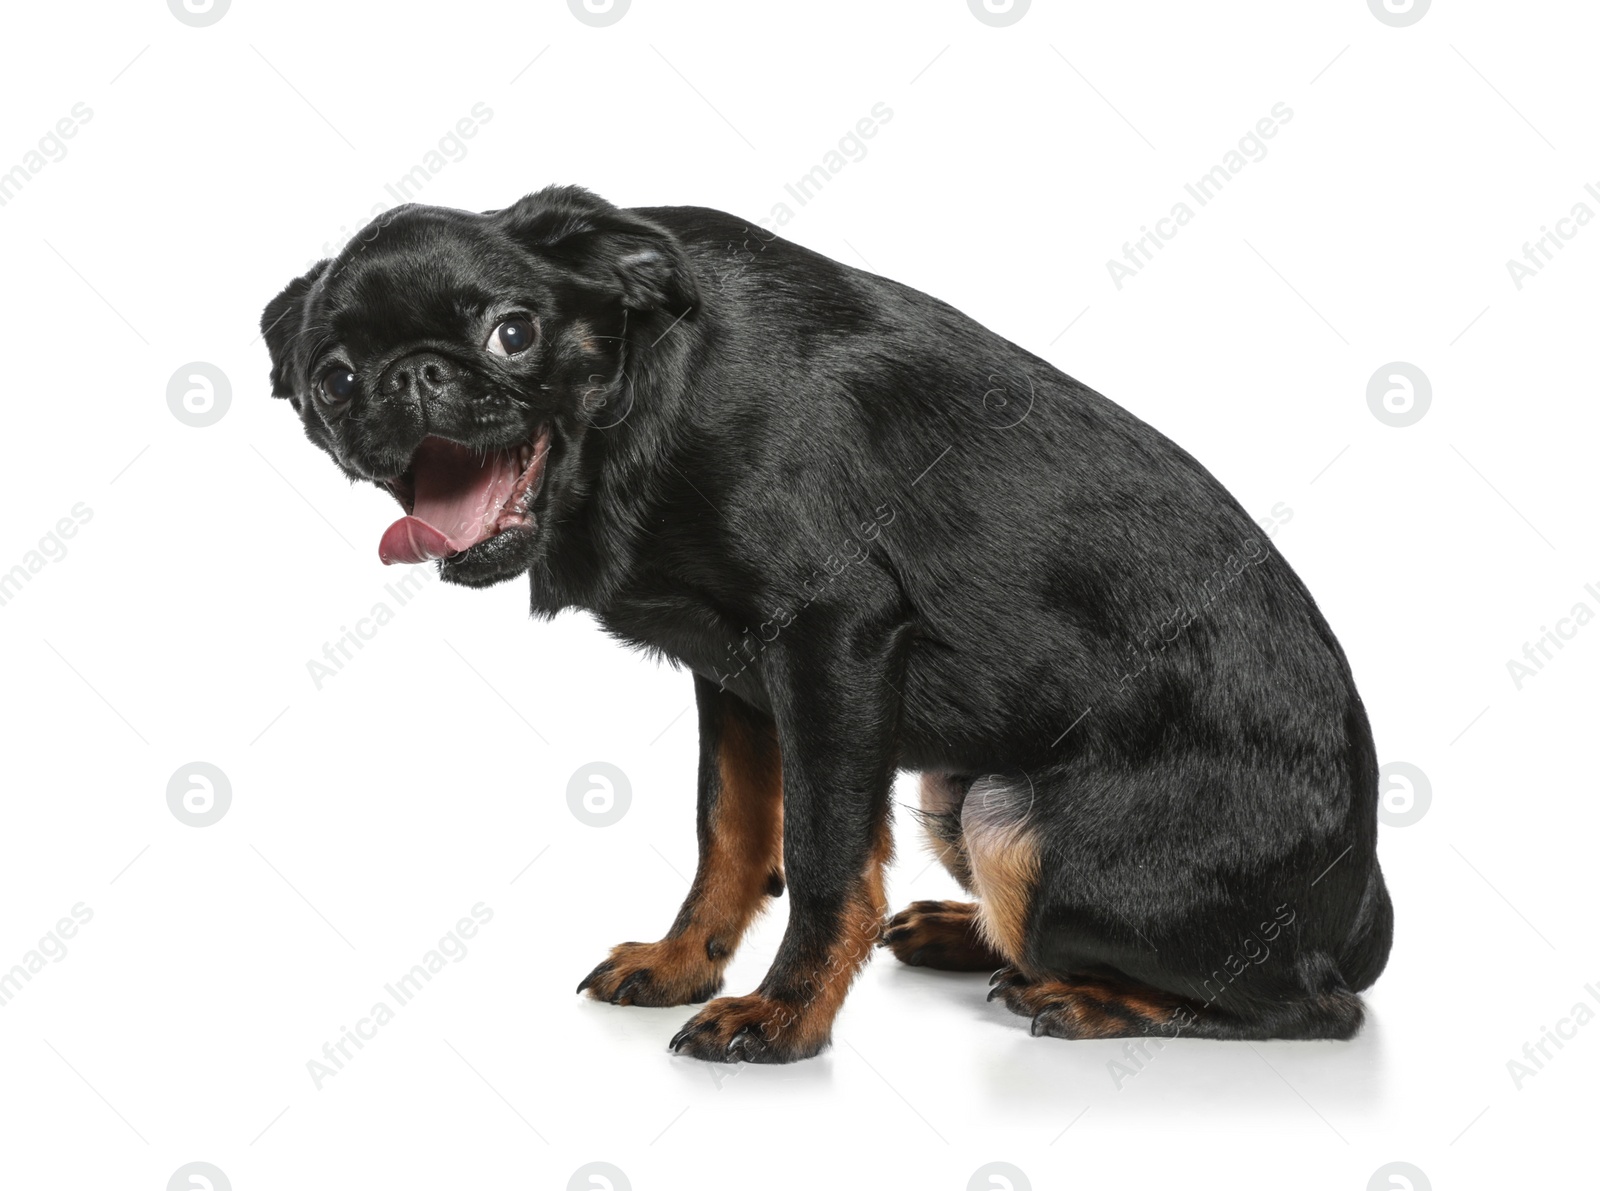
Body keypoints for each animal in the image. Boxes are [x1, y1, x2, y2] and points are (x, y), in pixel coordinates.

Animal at [259, 184, 1388, 1062]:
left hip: (1015, 823)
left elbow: (823, 858)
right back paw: (968, 934)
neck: (644, 397)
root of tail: (1361, 909)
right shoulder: (736, 677)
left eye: (512, 332)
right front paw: (686, 963)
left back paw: (1093, 1000)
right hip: (956, 793)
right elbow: (727, 830)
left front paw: (784, 1016)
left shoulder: (832, 645)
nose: (410, 377)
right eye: (333, 379)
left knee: (1315, 1008)